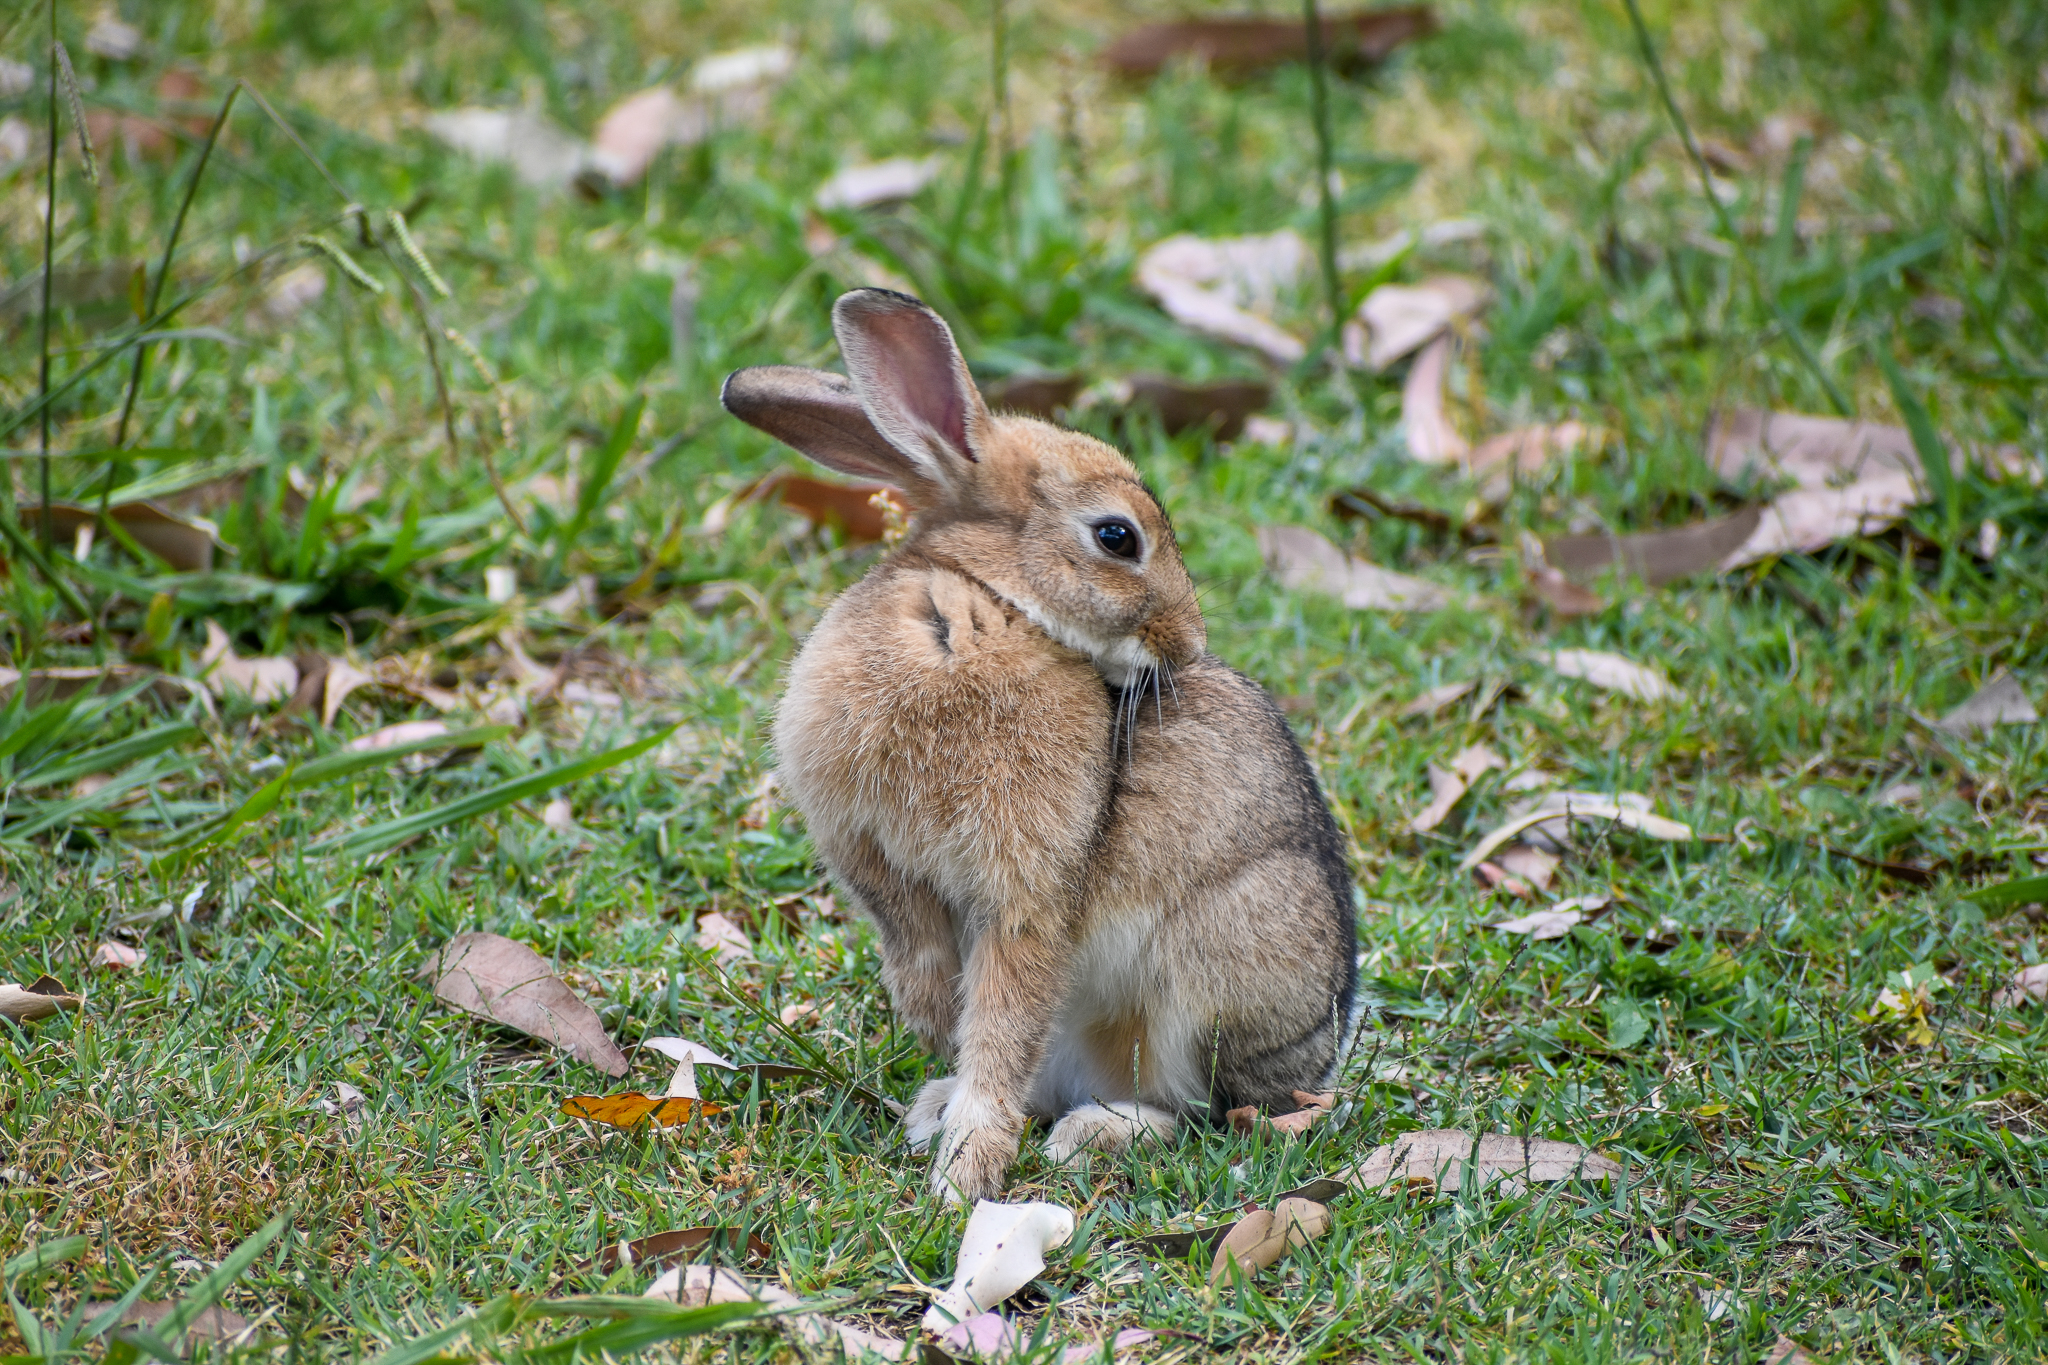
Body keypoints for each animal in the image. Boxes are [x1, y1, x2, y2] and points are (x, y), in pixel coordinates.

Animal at [721, 288, 1356, 1203]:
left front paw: (965, 1174)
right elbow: (932, 972)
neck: (984, 605)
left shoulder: (1027, 894)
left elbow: (1004, 1017)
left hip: (1212, 979)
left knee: (1197, 1110)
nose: (1188, 645)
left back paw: (1088, 1134)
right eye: (1118, 536)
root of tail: (1318, 1057)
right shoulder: (879, 866)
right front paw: (948, 1084)